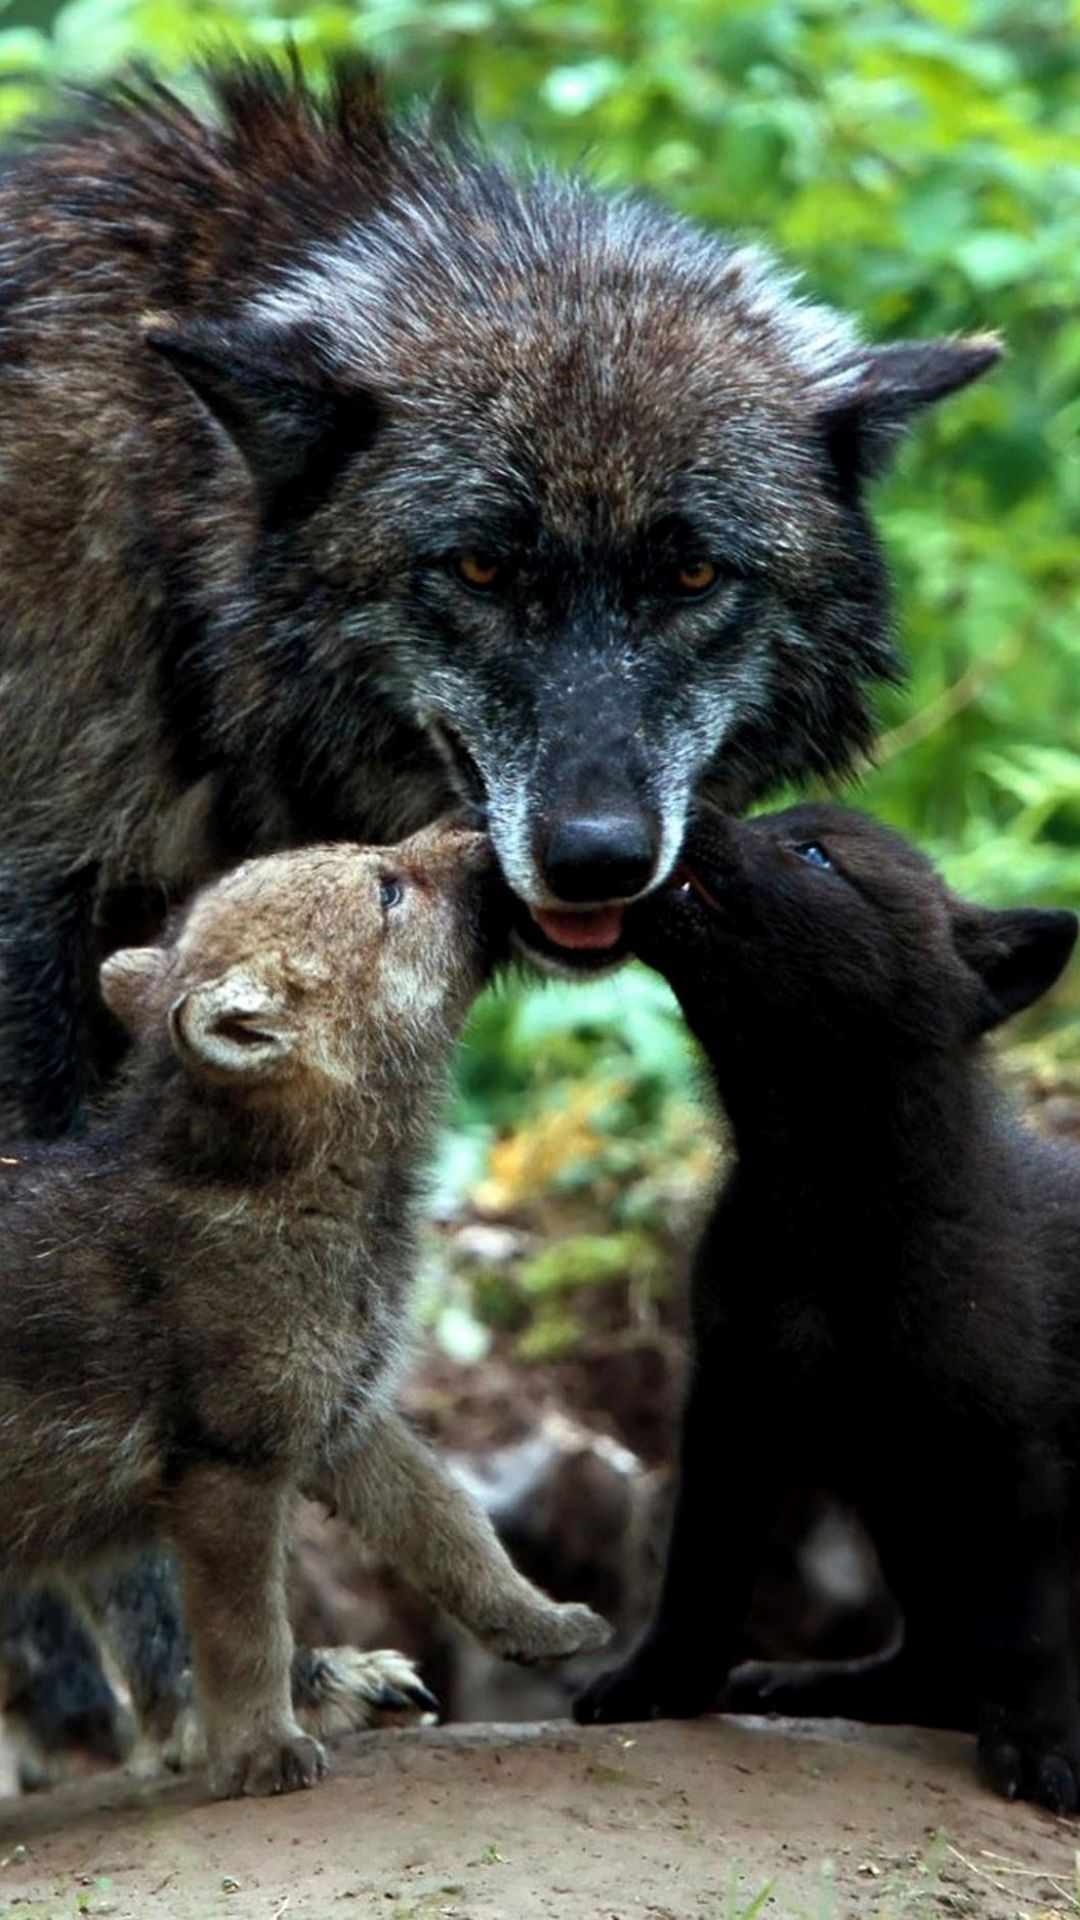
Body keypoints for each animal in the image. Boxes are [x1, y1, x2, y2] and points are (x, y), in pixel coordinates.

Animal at [0, 822, 607, 1796]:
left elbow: (453, 1526)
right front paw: (263, 1752)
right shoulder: (228, 1467)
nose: (476, 826)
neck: (290, 1192)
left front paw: (542, 1622)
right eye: (388, 891)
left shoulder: (345, 1418)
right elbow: (246, 1630)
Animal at [574, 804, 1080, 1814]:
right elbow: (698, 1570)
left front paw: (1041, 1749)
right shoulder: (732, 1405)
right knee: (932, 1666)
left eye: (812, 854)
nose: (693, 810)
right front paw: (657, 1683)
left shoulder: (1012, 1449)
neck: (824, 1205)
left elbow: (1030, 1626)